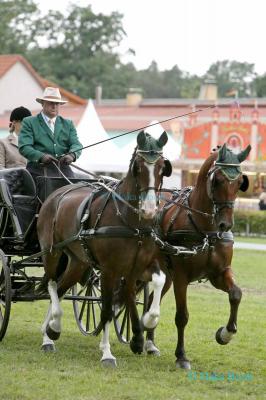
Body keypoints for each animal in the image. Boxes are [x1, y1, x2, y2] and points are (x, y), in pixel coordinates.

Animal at [37, 130, 172, 366]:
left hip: (78, 263)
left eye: (161, 167)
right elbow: (107, 310)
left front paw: (146, 323)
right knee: (52, 285)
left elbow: (155, 283)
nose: (148, 210)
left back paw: (49, 333)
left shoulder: (140, 266)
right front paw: (107, 353)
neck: (132, 223)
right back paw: (53, 328)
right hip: (51, 252)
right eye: (138, 167)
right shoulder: (110, 270)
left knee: (61, 289)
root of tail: (56, 194)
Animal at [144, 143, 250, 368]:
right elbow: (182, 316)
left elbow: (236, 294)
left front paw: (225, 334)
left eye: (239, 182)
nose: (225, 225)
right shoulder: (181, 277)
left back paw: (149, 343)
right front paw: (181, 356)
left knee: (150, 299)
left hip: (166, 275)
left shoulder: (218, 273)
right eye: (217, 180)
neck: (205, 230)